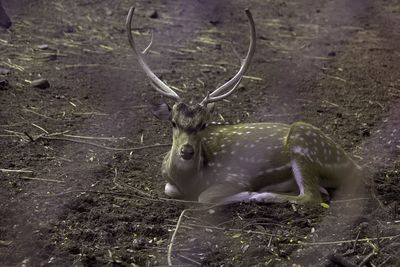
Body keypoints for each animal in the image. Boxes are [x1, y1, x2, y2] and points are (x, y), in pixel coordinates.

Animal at [125, 6, 360, 207]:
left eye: (203, 125)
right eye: (173, 122)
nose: (187, 150)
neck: (191, 179)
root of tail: (352, 166)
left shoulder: (236, 177)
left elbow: (205, 196)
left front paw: (246, 193)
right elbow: (170, 189)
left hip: (303, 144)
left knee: (310, 196)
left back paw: (262, 196)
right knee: (320, 192)